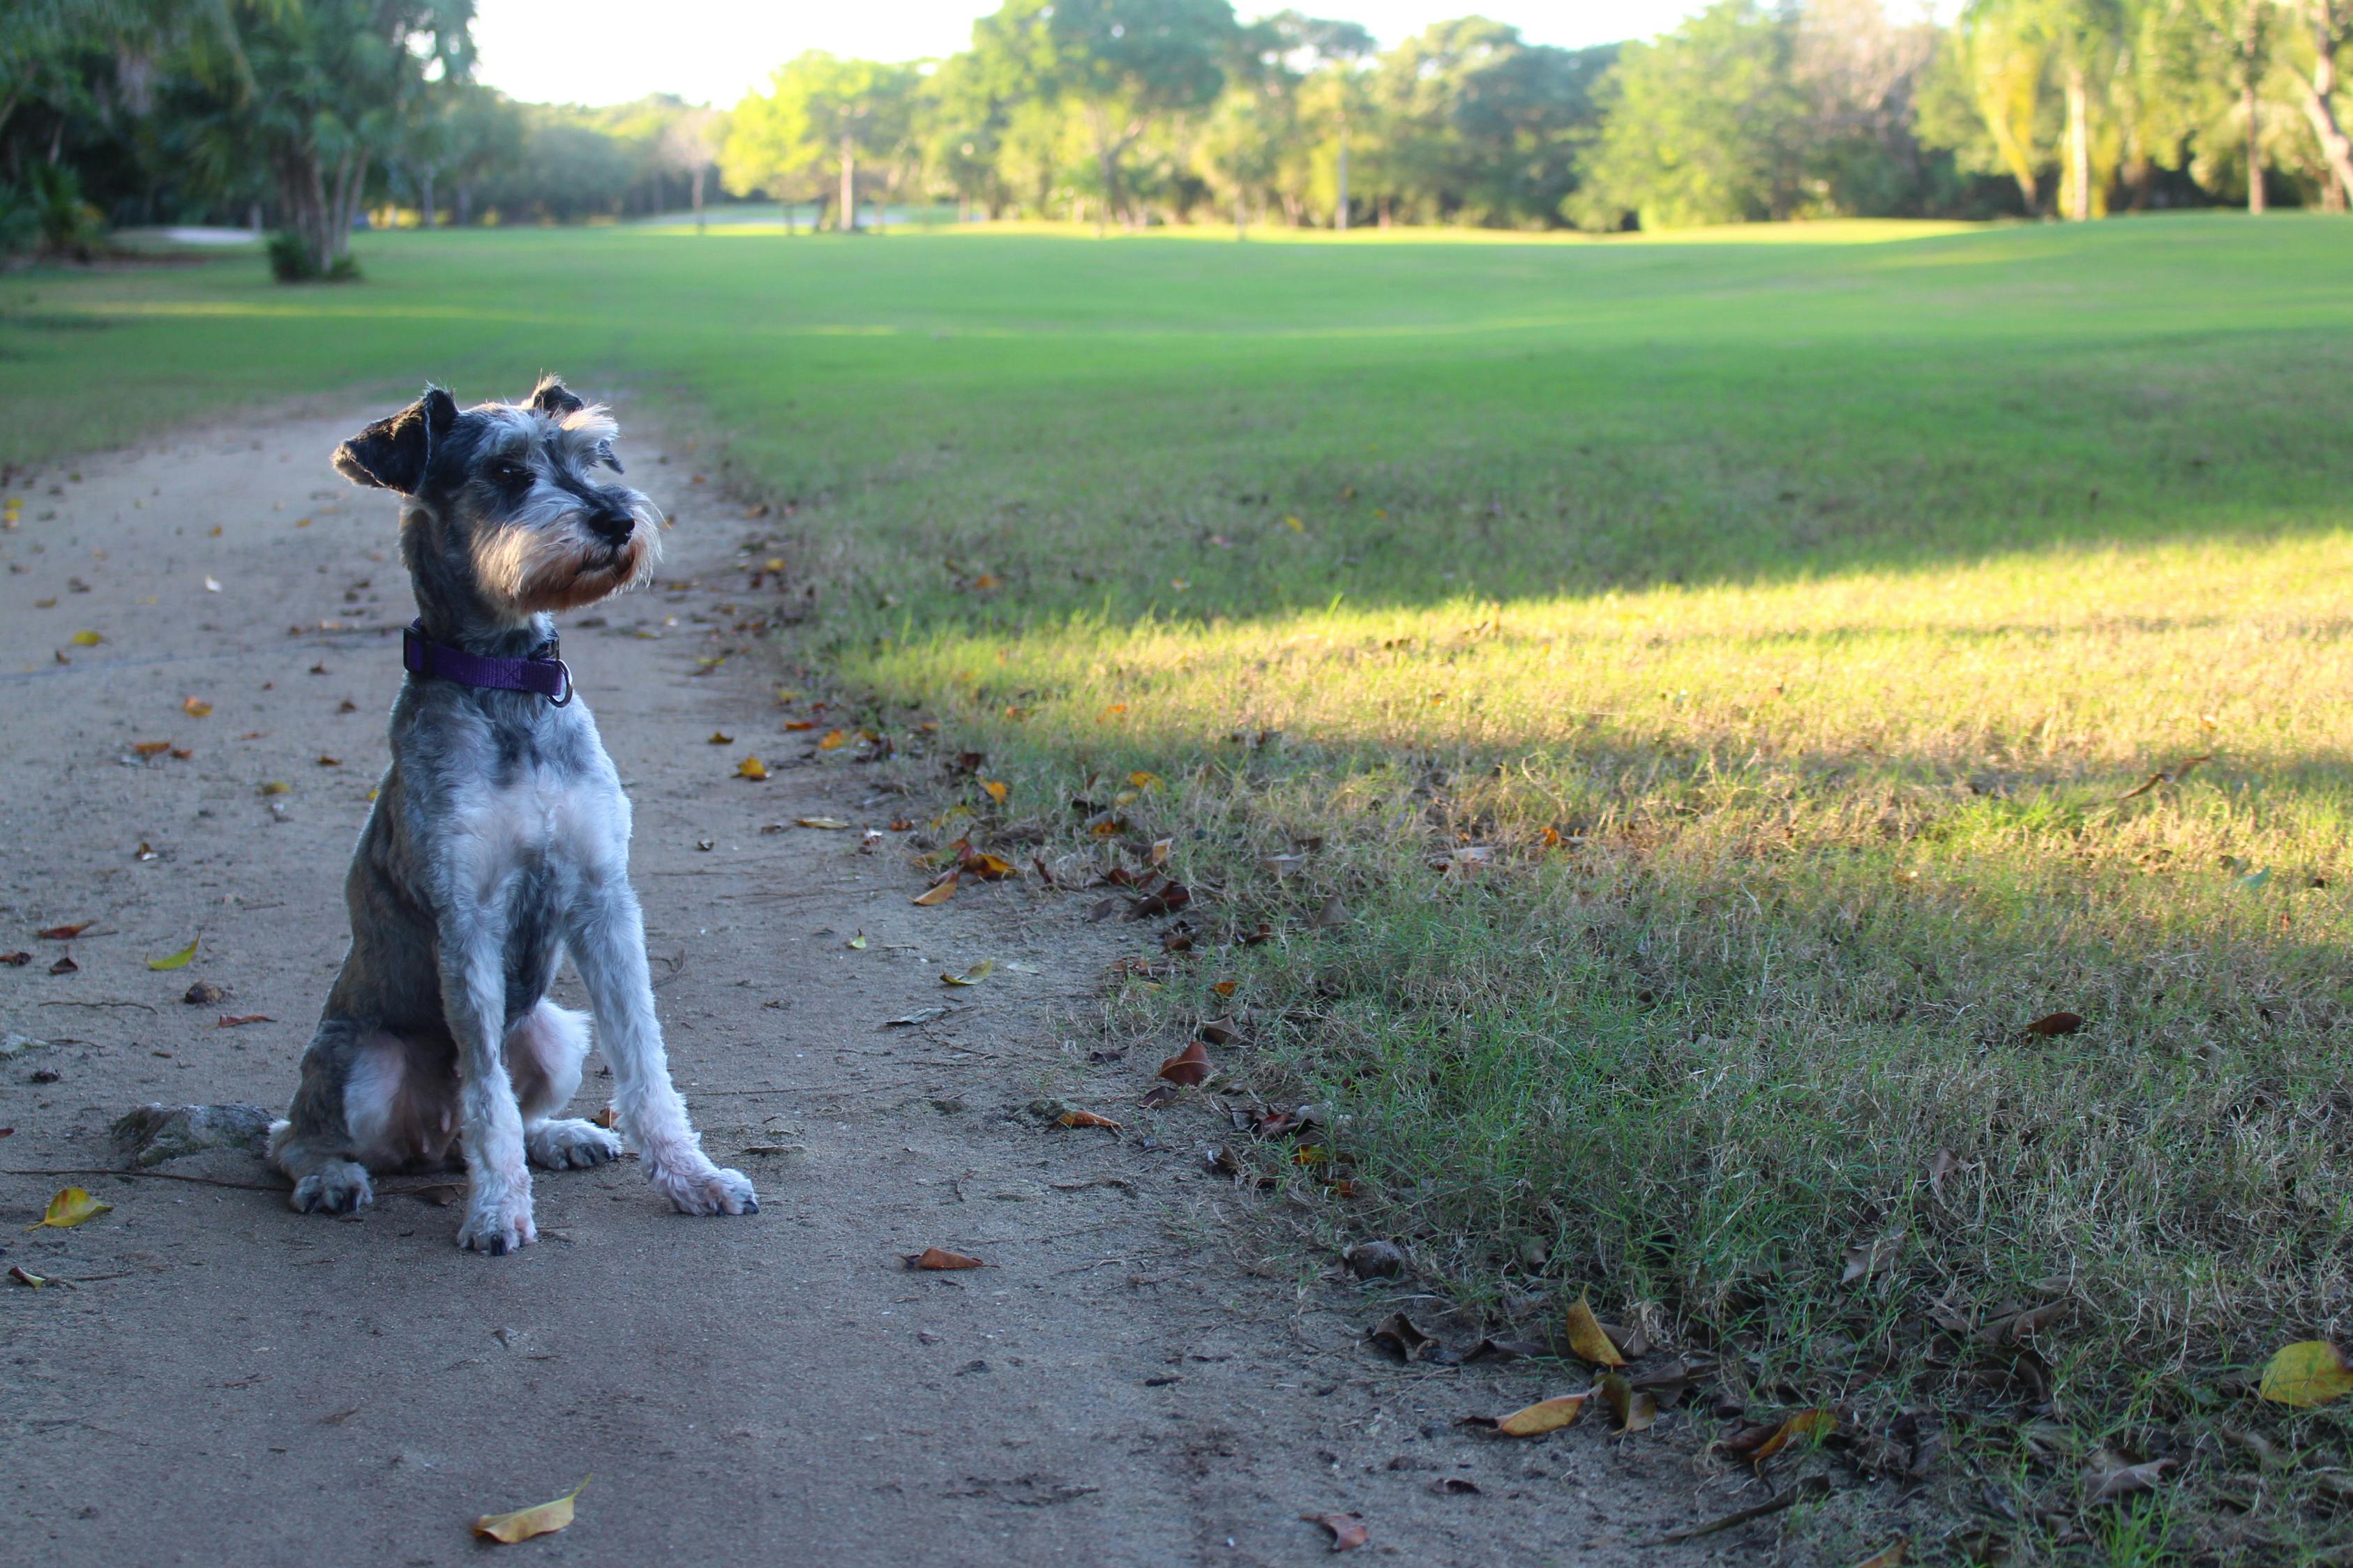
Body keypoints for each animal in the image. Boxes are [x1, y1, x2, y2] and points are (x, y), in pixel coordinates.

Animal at [271, 377, 758, 1243]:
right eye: (505, 472)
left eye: (592, 454)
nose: (617, 520)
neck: (507, 684)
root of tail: (430, 1138)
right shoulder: (467, 918)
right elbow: (486, 1094)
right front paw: (497, 1209)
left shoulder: (603, 898)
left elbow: (645, 1061)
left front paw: (693, 1176)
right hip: (363, 1065)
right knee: (302, 1135)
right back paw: (332, 1175)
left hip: (553, 1028)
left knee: (508, 1110)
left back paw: (560, 1136)